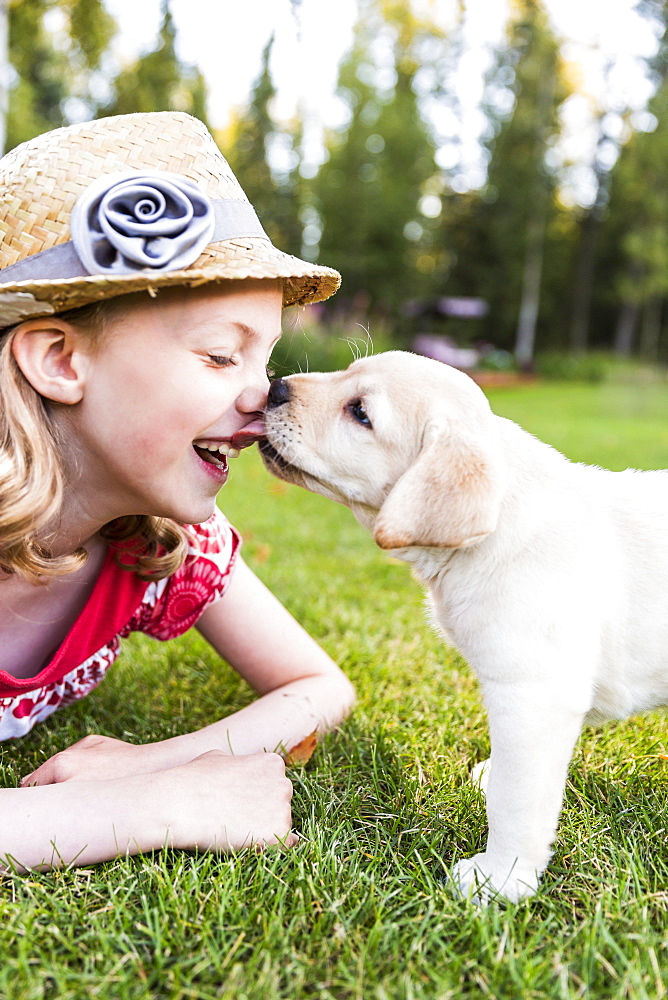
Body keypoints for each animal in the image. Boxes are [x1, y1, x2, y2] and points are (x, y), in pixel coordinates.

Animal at [260, 352, 668, 908]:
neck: (495, 531)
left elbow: (517, 800)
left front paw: (500, 879)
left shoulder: (533, 693)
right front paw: (493, 781)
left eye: (361, 413)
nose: (274, 388)